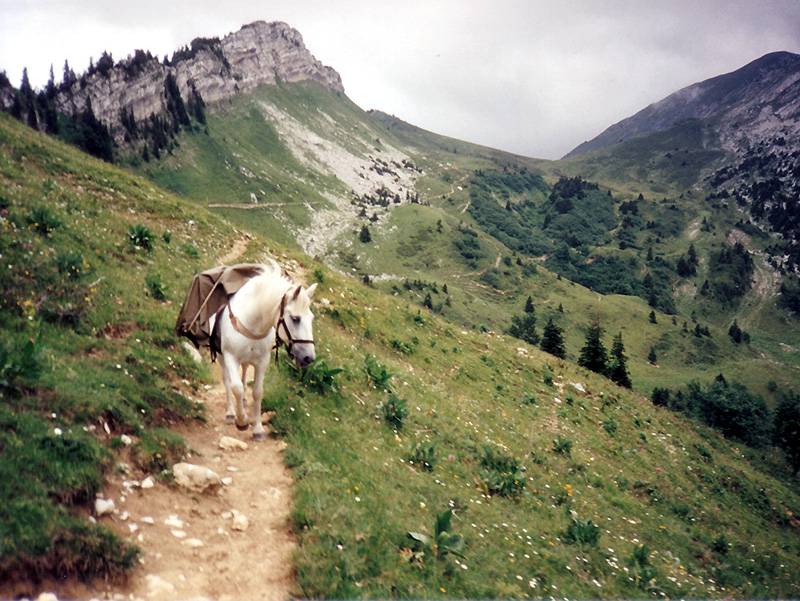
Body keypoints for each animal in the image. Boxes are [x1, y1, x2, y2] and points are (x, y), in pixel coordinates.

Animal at [211, 258, 318, 440]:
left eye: (311, 318)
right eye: (295, 318)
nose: (308, 357)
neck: (251, 323)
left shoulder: (262, 362)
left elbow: (257, 392)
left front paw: (258, 429)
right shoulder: (231, 357)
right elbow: (236, 388)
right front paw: (242, 421)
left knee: (244, 373)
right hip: (221, 357)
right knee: (228, 381)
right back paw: (231, 413)